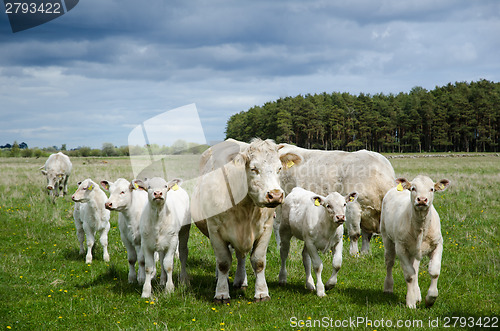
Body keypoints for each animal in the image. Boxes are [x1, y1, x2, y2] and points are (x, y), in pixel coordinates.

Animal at [190, 138, 300, 304]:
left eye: (279, 168)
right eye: (254, 168)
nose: (275, 195)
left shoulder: (266, 228)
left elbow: (258, 261)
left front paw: (262, 293)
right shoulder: (214, 229)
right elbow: (223, 262)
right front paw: (221, 293)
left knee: (240, 256)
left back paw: (241, 281)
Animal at [380, 176, 452, 308]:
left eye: (432, 189)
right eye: (413, 188)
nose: (422, 200)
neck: (421, 227)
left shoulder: (438, 244)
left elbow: (434, 271)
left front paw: (430, 298)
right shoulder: (401, 247)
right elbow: (409, 276)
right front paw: (411, 302)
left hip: (414, 250)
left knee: (415, 268)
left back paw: (418, 294)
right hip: (386, 237)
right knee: (390, 262)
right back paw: (388, 287)